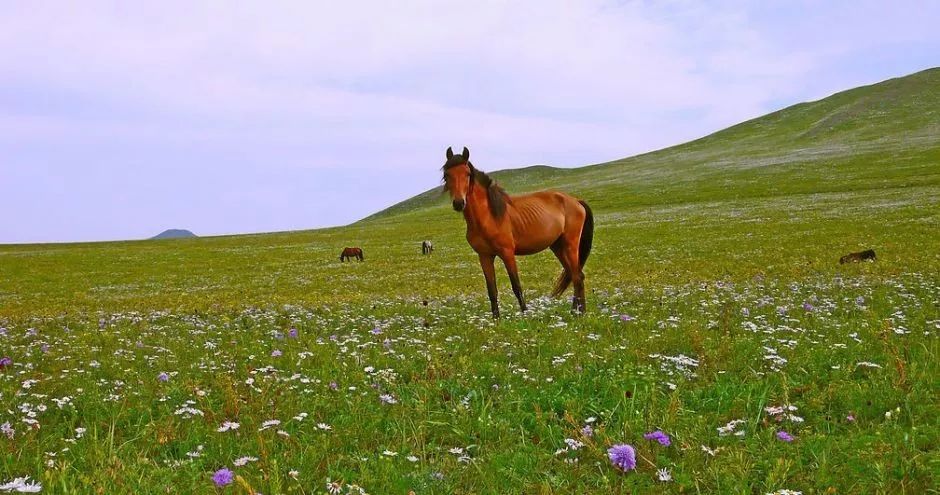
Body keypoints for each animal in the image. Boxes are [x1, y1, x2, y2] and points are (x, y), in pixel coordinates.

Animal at [442, 146, 596, 318]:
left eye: (467, 174)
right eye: (447, 175)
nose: (458, 203)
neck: (489, 217)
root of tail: (576, 201)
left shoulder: (507, 253)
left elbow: (516, 286)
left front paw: (525, 315)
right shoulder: (485, 257)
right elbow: (492, 290)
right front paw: (496, 320)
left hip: (570, 245)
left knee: (577, 276)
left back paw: (579, 313)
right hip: (558, 247)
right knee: (575, 275)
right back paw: (575, 311)